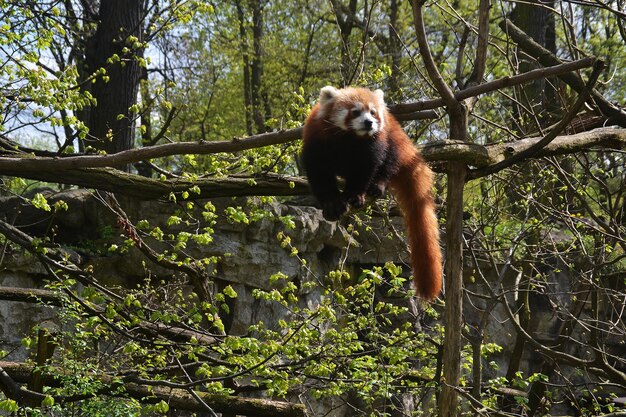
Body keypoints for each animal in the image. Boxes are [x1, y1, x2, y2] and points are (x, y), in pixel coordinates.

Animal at [302, 85, 438, 300]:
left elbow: (365, 171)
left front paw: (354, 195)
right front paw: (332, 203)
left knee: (389, 162)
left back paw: (378, 185)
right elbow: (320, 175)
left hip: (394, 139)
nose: (369, 122)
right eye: (355, 112)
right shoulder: (317, 141)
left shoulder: (372, 147)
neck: (349, 139)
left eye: (373, 112)